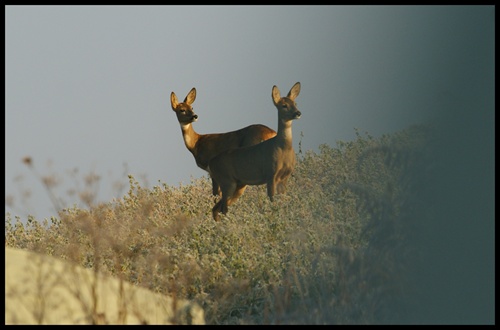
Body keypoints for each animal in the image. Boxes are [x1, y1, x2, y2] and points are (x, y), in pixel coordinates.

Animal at [207, 82, 300, 222]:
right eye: (284, 105)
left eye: (295, 103)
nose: (298, 113)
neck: (283, 148)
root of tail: (211, 163)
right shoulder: (270, 173)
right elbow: (272, 200)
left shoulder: (285, 176)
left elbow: (283, 201)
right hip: (227, 181)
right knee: (223, 208)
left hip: (238, 184)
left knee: (216, 208)